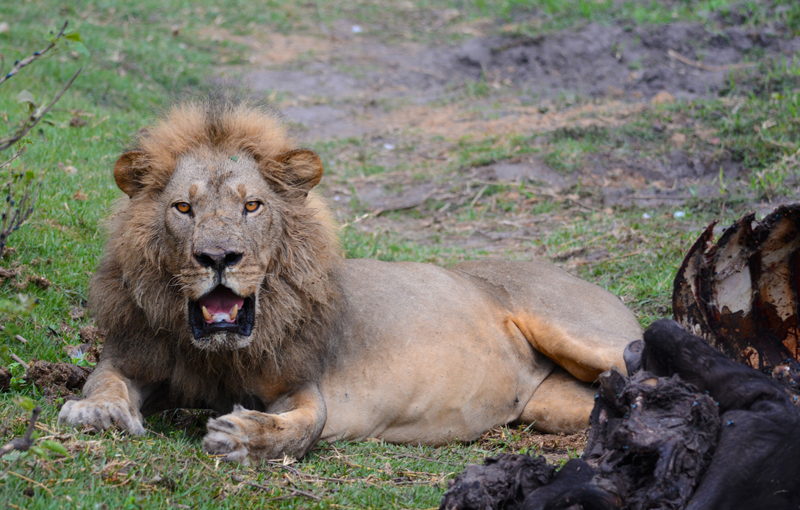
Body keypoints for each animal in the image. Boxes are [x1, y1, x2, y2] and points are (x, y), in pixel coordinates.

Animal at [58, 97, 642, 463]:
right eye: (183, 207)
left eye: (252, 206)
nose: (218, 256)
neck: (219, 354)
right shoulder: (133, 355)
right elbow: (104, 381)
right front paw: (97, 412)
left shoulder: (302, 383)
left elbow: (301, 428)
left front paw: (243, 435)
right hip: (553, 403)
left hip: (578, 332)